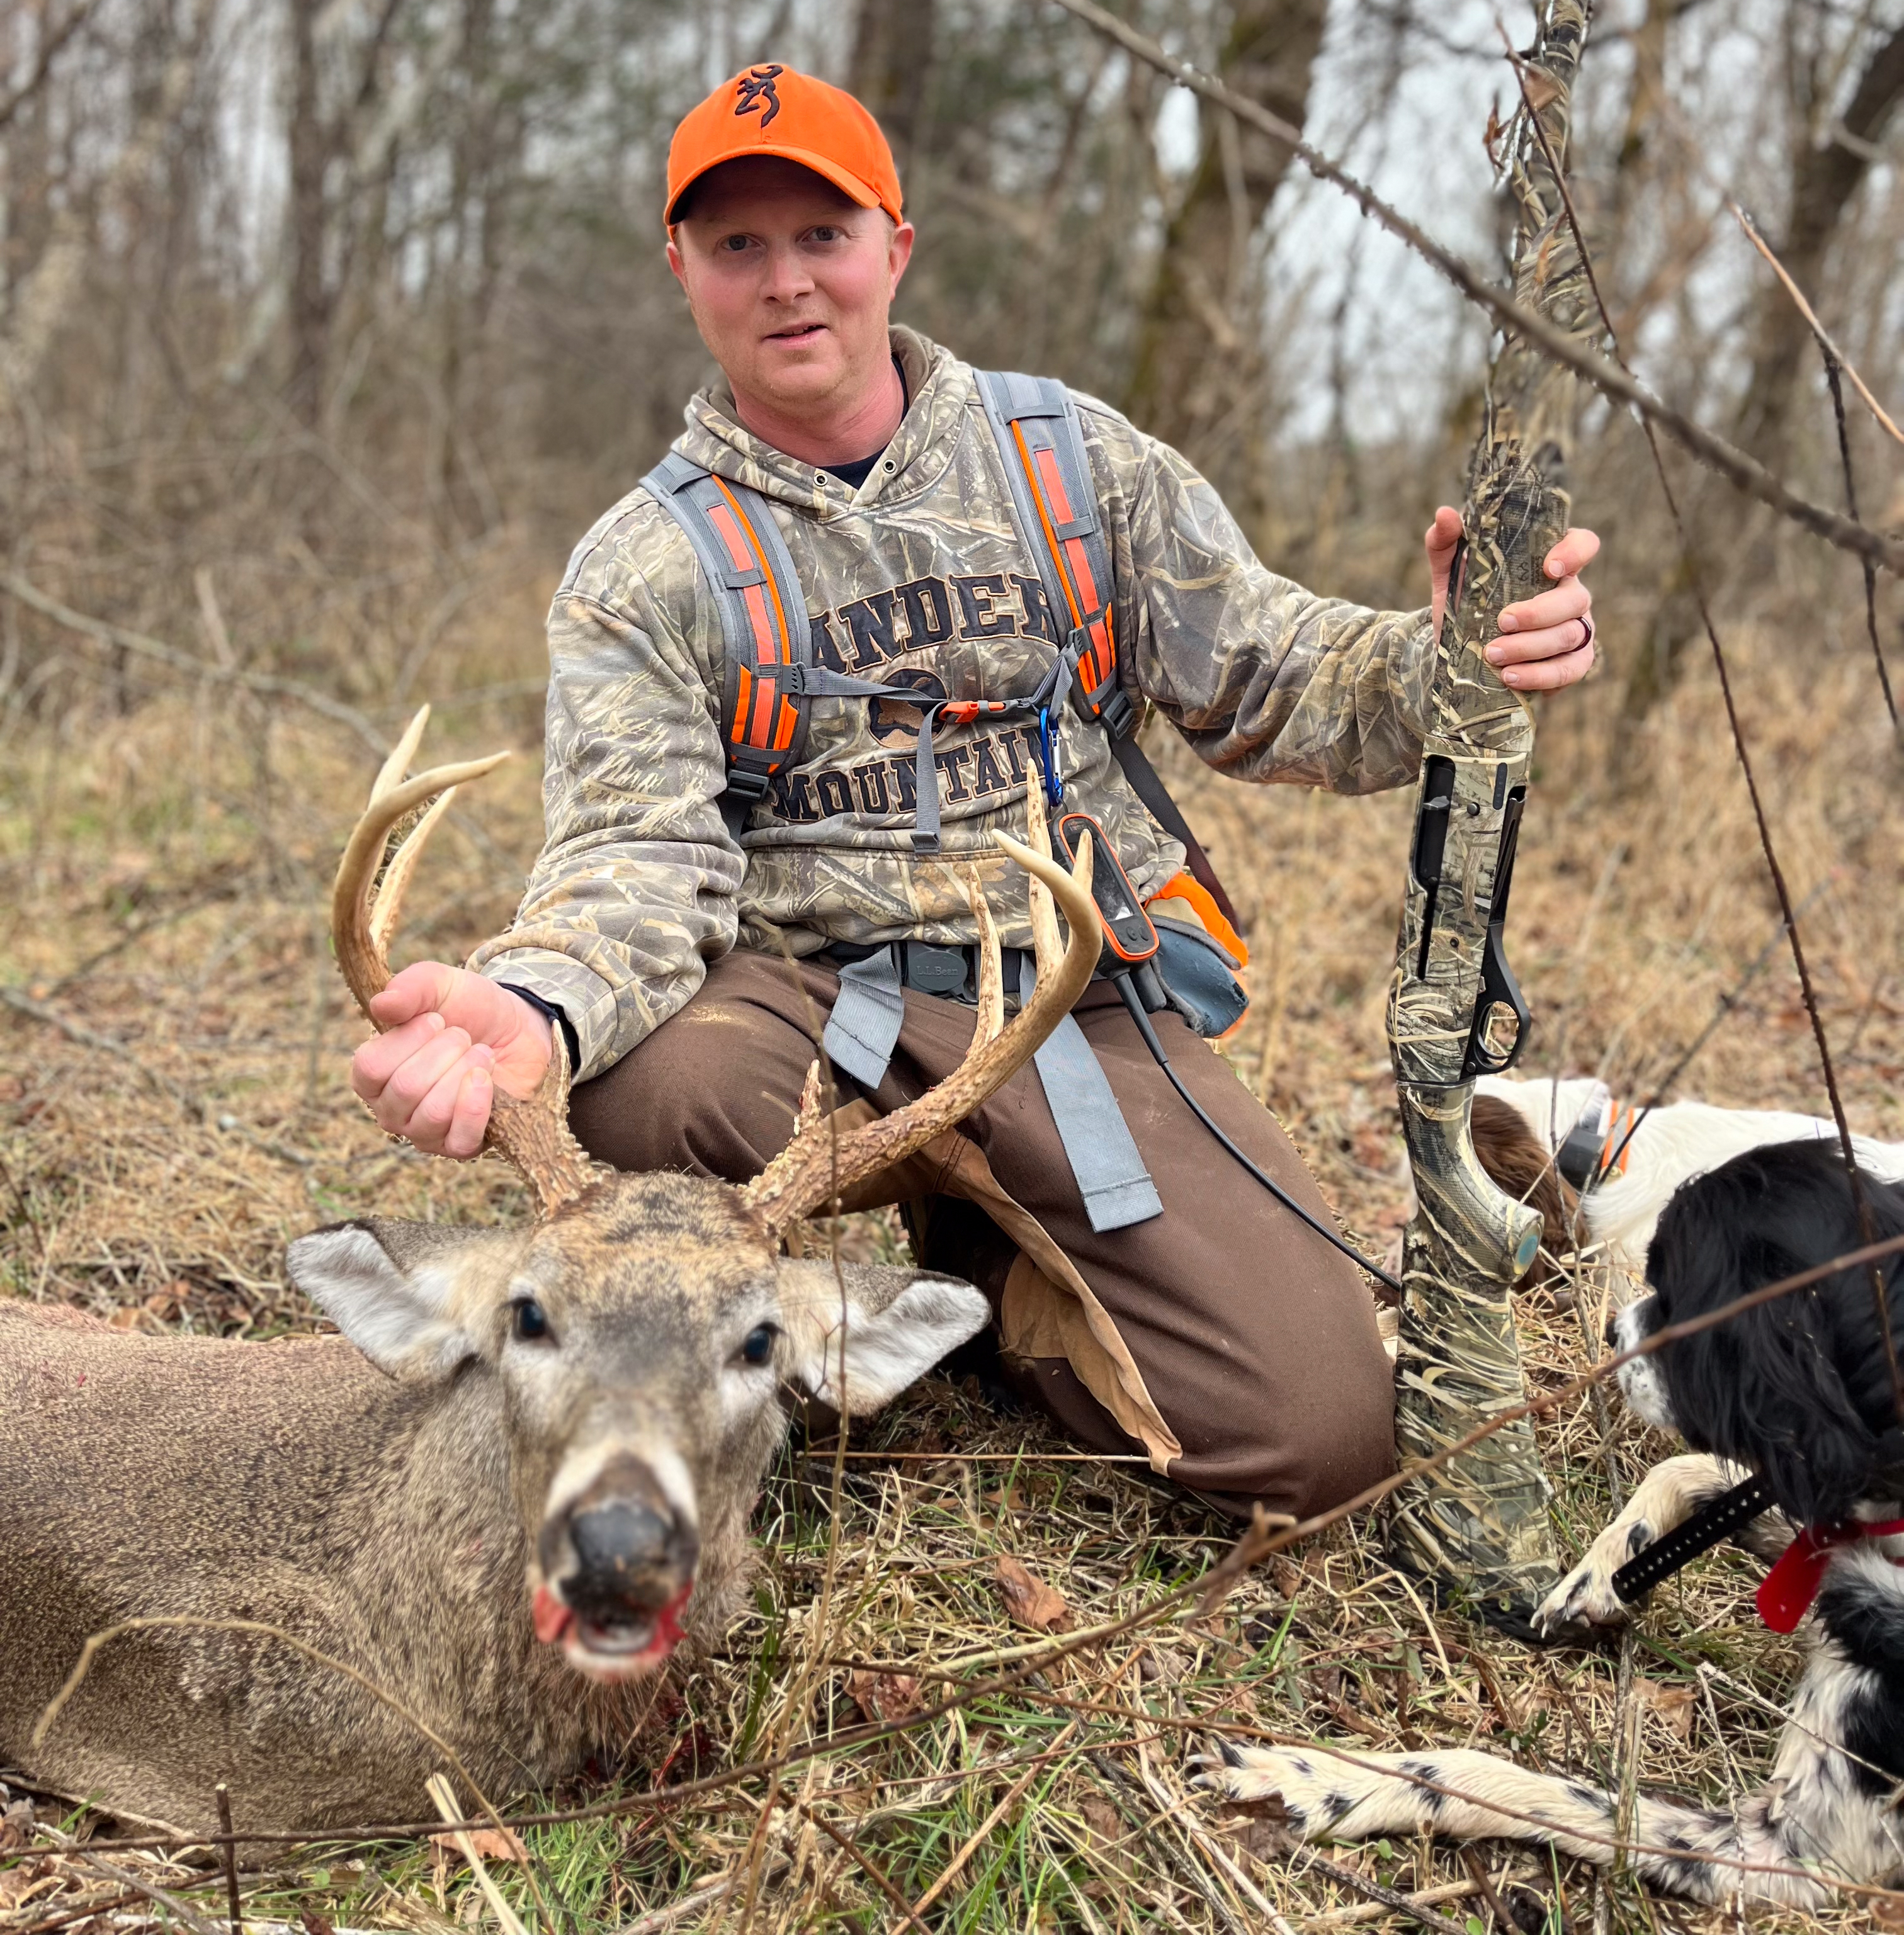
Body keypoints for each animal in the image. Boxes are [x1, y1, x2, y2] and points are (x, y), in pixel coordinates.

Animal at [1199, 1137, 1904, 1912]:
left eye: (1684, 1289)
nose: (1611, 1329)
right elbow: (1689, 1471)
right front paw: (1597, 1573)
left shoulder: (1792, 1855)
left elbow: (1517, 1786)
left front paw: (1327, 1781)